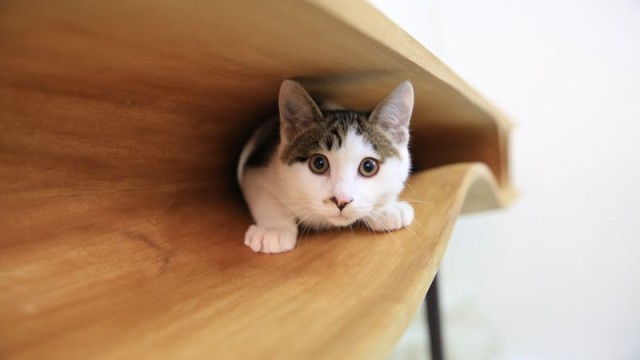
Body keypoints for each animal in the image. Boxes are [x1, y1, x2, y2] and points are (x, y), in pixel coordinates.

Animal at [236, 80, 416, 253]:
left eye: (369, 167)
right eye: (319, 164)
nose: (341, 200)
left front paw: (388, 209)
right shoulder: (256, 168)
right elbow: (263, 197)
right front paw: (274, 229)